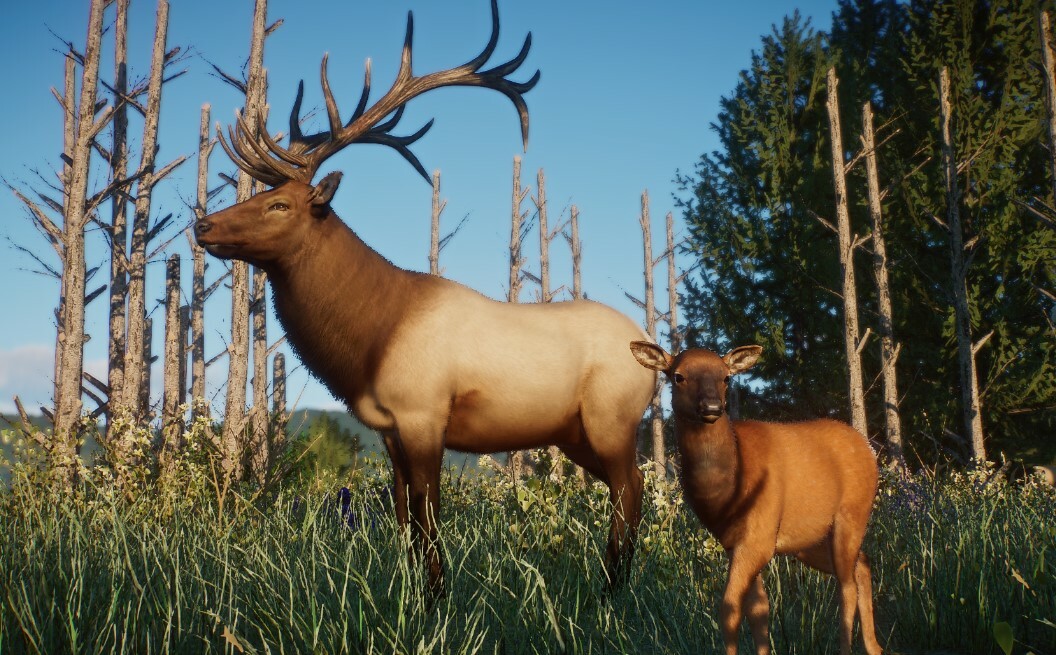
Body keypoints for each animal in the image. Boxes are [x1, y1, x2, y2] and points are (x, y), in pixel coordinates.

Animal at [195, 0, 654, 591]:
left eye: (280, 205)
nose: (203, 225)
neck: (371, 340)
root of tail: (655, 351)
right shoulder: (390, 430)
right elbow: (405, 519)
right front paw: (413, 590)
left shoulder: (424, 414)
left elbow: (429, 517)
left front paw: (436, 595)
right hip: (574, 434)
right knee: (628, 487)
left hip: (612, 419)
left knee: (629, 489)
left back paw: (612, 588)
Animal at [625, 342, 882, 654]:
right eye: (678, 376)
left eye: (726, 377)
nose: (712, 407)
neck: (729, 489)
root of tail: (868, 448)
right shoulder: (734, 541)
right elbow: (759, 610)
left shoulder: (758, 537)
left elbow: (729, 608)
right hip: (810, 540)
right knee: (863, 564)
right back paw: (875, 647)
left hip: (852, 513)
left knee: (846, 585)